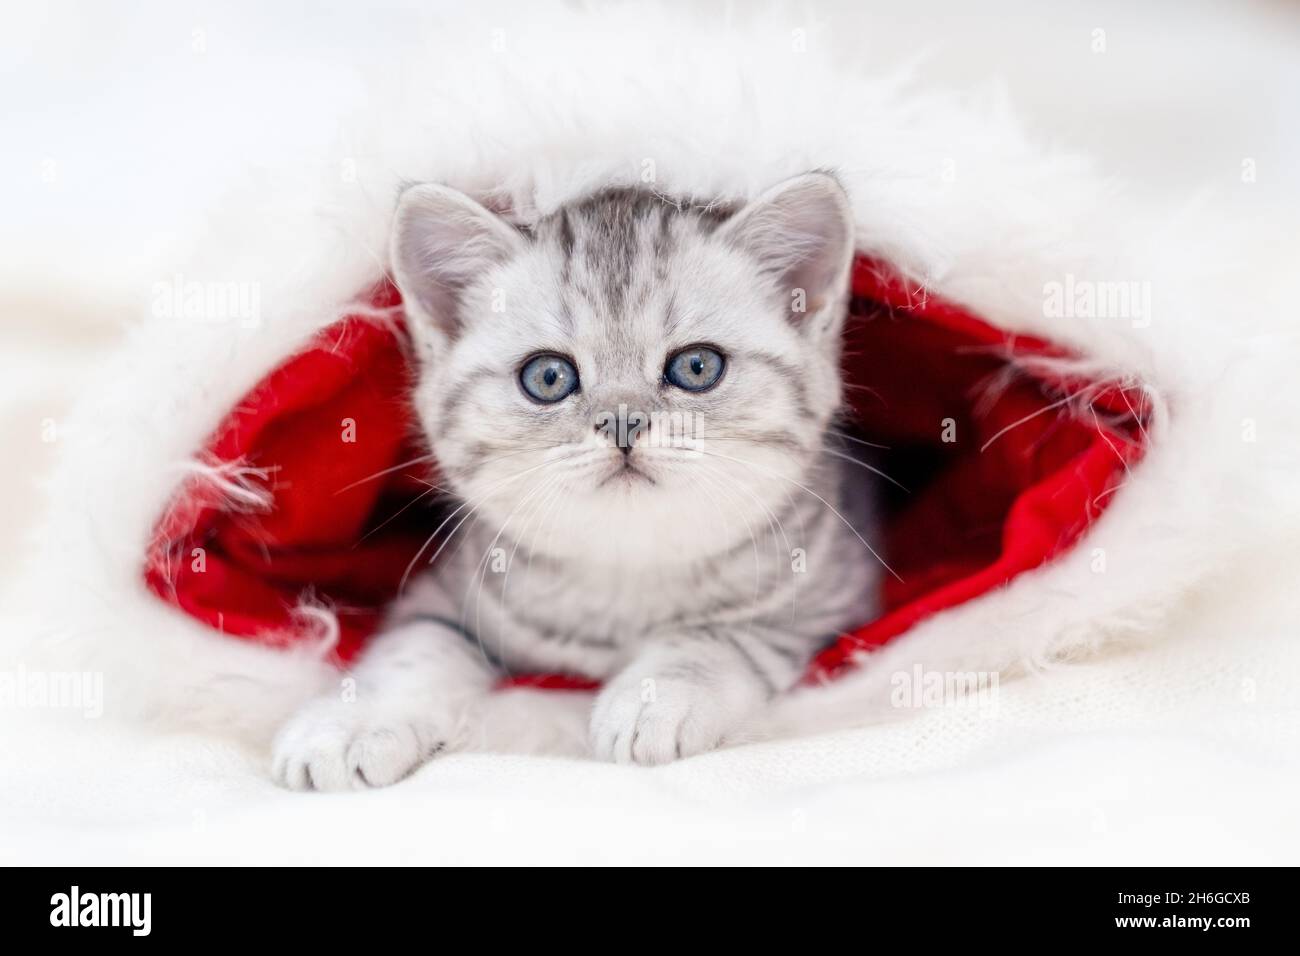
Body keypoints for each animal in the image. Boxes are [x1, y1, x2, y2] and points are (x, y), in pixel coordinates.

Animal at [269, 174, 878, 790]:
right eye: (548, 376)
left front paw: (656, 696)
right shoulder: (441, 592)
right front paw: (348, 723)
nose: (623, 422)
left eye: (697, 367)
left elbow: (721, 635)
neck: (625, 568)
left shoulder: (830, 590)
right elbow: (413, 651)